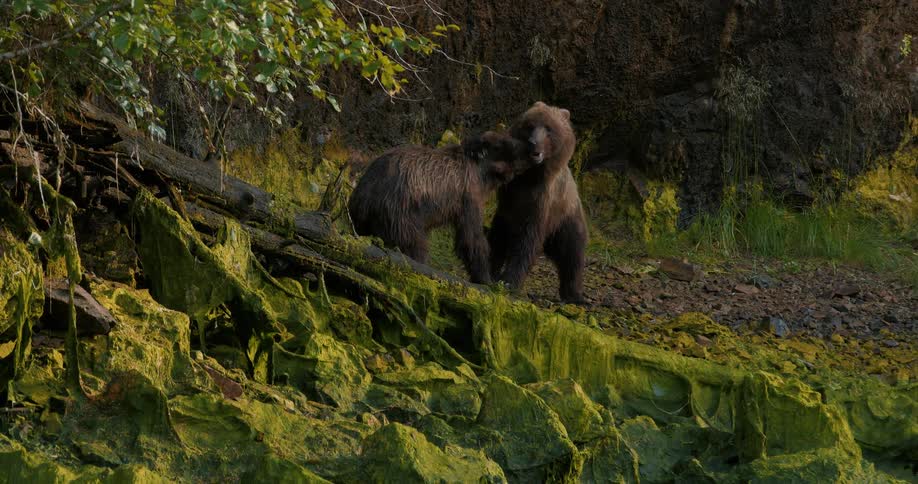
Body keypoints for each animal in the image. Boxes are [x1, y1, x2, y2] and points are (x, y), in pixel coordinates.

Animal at [348, 131, 530, 284]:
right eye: (505, 144)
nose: (530, 148)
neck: (481, 173)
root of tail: (364, 196)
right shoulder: (468, 199)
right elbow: (472, 239)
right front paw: (485, 279)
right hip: (401, 218)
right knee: (415, 248)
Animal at [488, 102, 589, 303]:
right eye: (530, 125)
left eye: (549, 129)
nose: (533, 142)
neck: (531, 176)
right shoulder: (508, 200)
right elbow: (499, 237)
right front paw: (492, 272)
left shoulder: (541, 204)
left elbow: (527, 242)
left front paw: (508, 281)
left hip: (566, 221)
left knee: (573, 255)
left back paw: (574, 295)